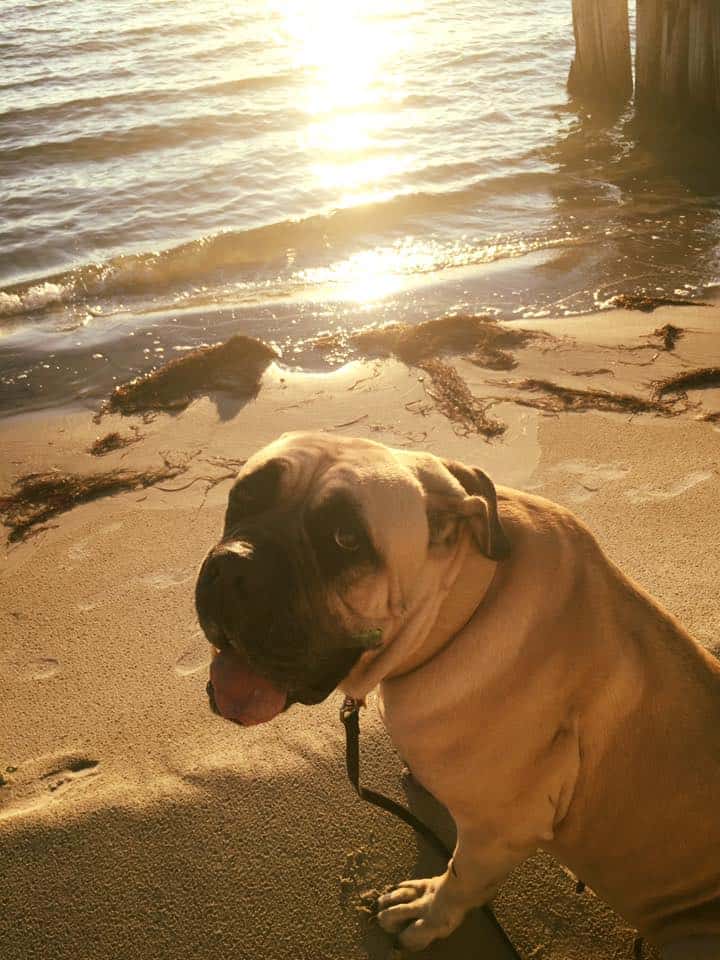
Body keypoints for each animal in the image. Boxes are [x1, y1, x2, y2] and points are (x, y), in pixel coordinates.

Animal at [194, 432, 720, 956]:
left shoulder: (501, 830)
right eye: (244, 496)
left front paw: (428, 911)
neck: (464, 605)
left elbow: (461, 879)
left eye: (346, 539)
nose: (234, 568)